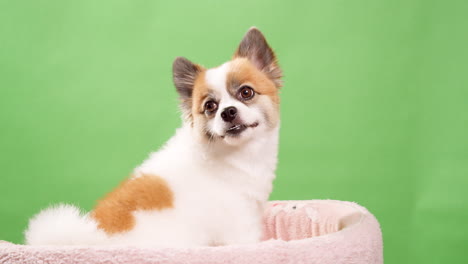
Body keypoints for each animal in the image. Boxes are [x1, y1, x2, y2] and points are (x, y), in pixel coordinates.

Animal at [25, 27, 284, 248]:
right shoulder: (239, 224)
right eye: (210, 106)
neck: (237, 153)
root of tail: (93, 239)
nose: (227, 112)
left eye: (246, 92)